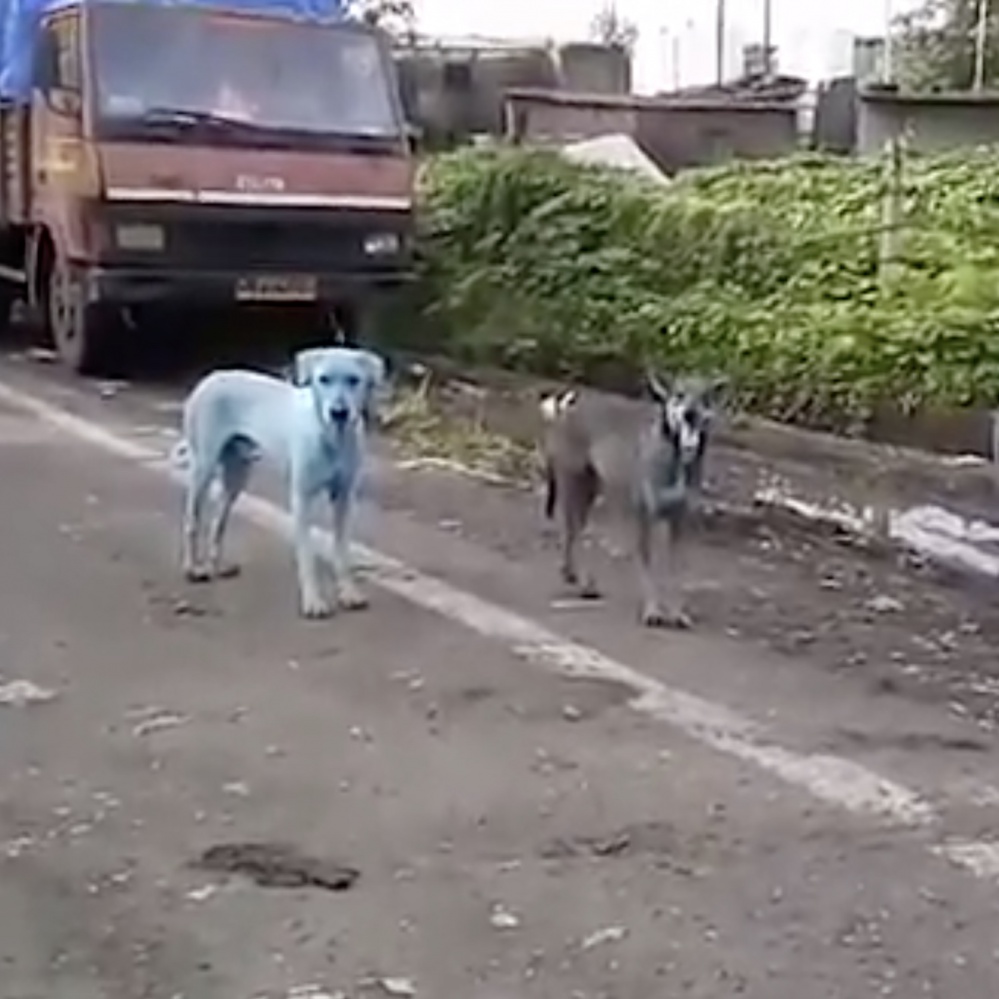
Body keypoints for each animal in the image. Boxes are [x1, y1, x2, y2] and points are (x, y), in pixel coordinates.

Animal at [174, 348, 384, 620]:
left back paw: (217, 566)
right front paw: (313, 600)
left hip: (237, 475)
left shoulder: (345, 499)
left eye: (354, 380)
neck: (330, 437)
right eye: (323, 379)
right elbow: (307, 555)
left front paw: (348, 592)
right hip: (203, 467)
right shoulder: (302, 500)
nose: (339, 412)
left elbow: (342, 551)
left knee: (218, 522)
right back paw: (192, 568)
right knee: (193, 521)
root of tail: (211, 377)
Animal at [544, 372, 724, 628]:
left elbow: (677, 572)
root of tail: (567, 405)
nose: (691, 413)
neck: (676, 459)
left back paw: (574, 576)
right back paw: (582, 582)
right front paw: (652, 611)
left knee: (573, 535)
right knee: (570, 535)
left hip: (590, 491)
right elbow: (648, 569)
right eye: (679, 395)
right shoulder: (644, 517)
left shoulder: (680, 521)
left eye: (705, 397)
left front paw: (677, 612)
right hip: (574, 486)